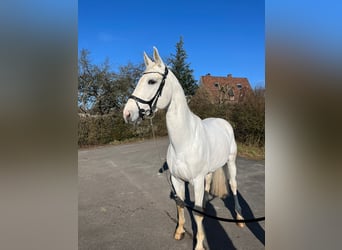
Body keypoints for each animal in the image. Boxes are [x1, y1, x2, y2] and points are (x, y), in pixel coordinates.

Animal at [123, 47, 243, 250]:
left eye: (152, 81)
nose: (127, 114)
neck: (184, 142)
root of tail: (223, 122)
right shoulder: (177, 180)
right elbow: (180, 205)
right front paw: (179, 232)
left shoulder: (196, 181)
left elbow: (198, 213)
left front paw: (199, 244)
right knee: (208, 184)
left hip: (231, 162)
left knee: (233, 185)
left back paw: (240, 219)